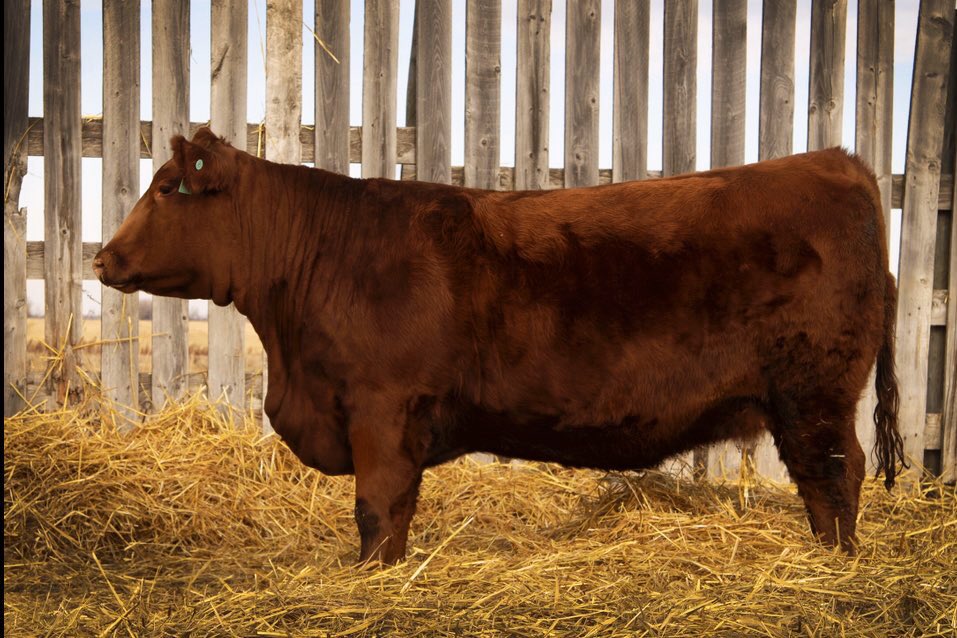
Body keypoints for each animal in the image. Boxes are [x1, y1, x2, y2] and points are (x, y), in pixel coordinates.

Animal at [94, 127, 906, 564]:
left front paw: (374, 578)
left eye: (166, 190)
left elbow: (377, 509)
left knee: (836, 476)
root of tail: (838, 161)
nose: (102, 258)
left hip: (814, 390)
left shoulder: (383, 411)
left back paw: (835, 563)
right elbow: (391, 512)